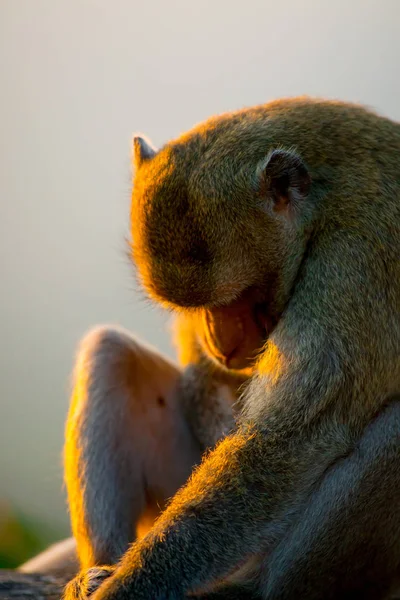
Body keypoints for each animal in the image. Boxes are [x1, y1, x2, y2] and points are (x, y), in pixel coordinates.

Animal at [62, 96, 400, 596]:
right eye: (197, 307)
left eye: (243, 296)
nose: (218, 343)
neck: (322, 203)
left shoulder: (355, 263)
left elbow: (280, 447)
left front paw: (128, 589)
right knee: (112, 352)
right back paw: (97, 570)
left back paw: (257, 590)